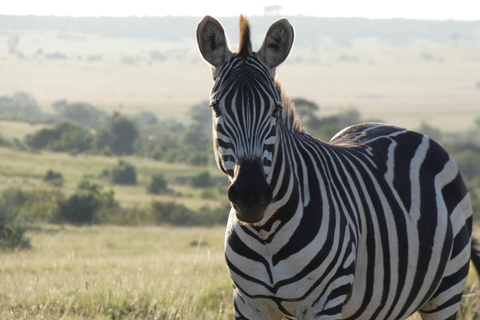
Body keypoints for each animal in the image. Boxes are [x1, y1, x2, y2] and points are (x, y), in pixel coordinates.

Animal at [196, 15, 480, 320]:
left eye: (274, 109)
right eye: (216, 108)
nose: (251, 196)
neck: (265, 234)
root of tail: (396, 127)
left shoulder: (326, 302)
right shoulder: (248, 303)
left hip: (447, 289)